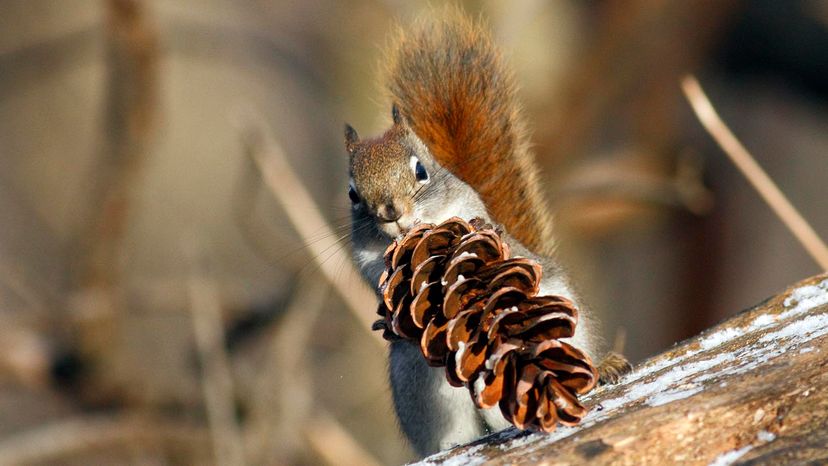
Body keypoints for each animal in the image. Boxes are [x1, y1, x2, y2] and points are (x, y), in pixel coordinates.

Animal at [342, 9, 628, 456]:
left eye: (420, 170)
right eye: (354, 194)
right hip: (423, 384)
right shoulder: (365, 261)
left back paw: (602, 367)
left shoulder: (471, 209)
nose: (392, 213)